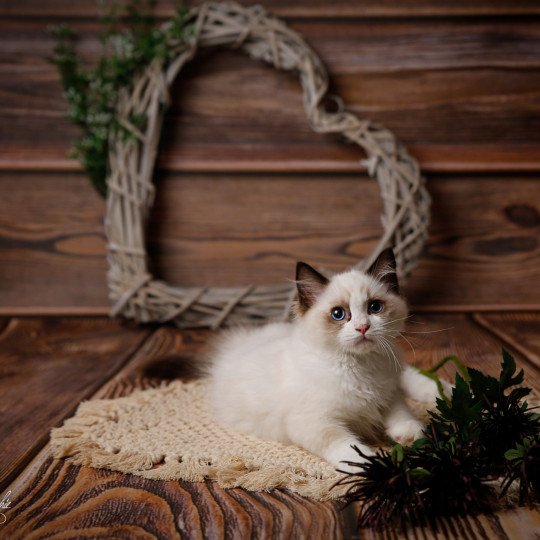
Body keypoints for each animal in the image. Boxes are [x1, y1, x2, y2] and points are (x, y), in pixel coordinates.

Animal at [207, 250, 448, 472]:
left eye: (374, 307)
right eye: (338, 314)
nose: (362, 327)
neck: (359, 367)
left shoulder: (388, 393)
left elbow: (402, 413)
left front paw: (414, 436)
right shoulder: (315, 422)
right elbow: (348, 447)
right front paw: (374, 466)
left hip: (396, 370)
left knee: (411, 378)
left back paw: (446, 390)